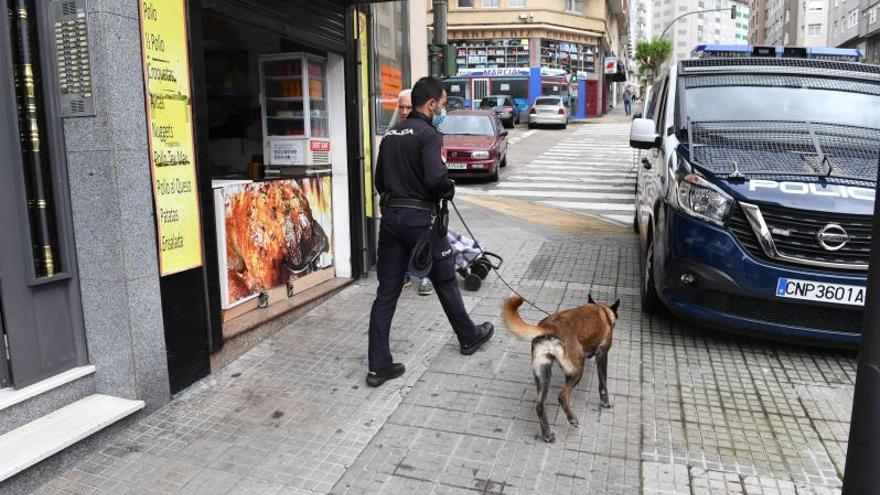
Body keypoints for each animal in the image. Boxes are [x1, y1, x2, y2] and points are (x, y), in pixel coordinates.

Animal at [502, 294, 620, 442]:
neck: (602, 309)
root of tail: (548, 326)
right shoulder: (602, 353)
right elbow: (603, 383)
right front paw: (605, 402)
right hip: (576, 369)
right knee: (562, 396)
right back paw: (572, 419)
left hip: (543, 372)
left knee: (539, 404)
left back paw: (547, 434)